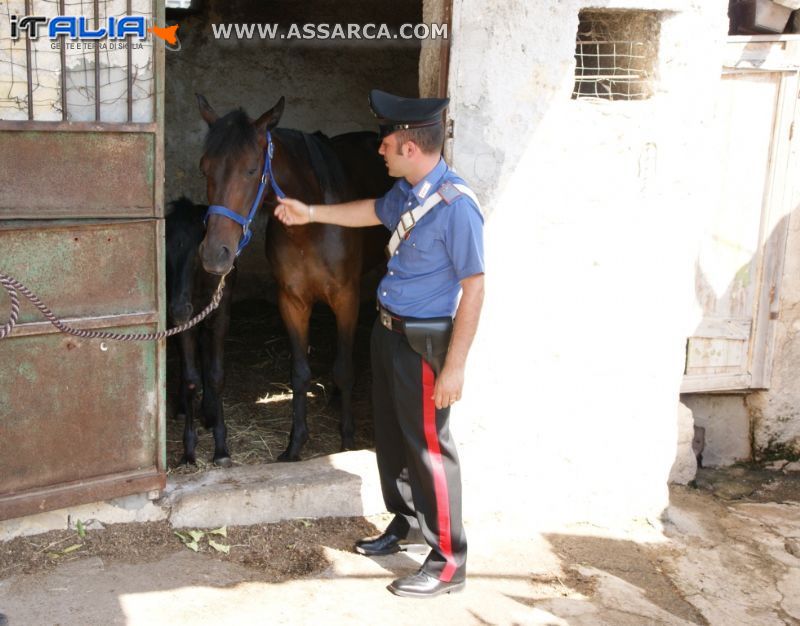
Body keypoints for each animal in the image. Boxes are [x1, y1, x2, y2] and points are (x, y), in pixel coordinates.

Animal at [164, 197, 236, 466]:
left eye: (197, 256)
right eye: (164, 252)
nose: (179, 309)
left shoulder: (221, 316)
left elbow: (216, 375)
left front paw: (221, 447)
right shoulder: (181, 322)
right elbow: (191, 378)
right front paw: (189, 450)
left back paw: (209, 411)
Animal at [197, 95, 390, 460]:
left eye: (250, 169)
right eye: (205, 168)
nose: (215, 255)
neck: (311, 226)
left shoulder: (346, 297)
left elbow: (344, 369)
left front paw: (347, 440)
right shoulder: (292, 300)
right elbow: (299, 373)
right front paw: (295, 444)